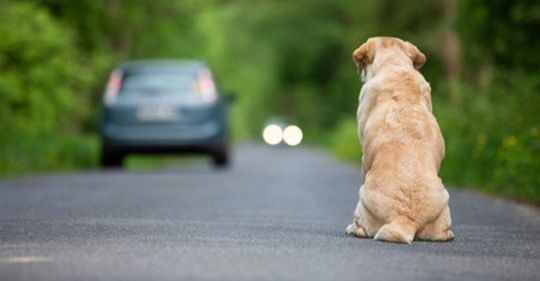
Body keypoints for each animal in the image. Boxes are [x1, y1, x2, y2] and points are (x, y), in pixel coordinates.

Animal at [344, 36, 454, 243]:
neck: (394, 65)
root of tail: (405, 219)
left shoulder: (364, 159)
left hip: (363, 196)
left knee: (362, 227)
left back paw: (352, 229)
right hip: (444, 200)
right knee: (442, 234)